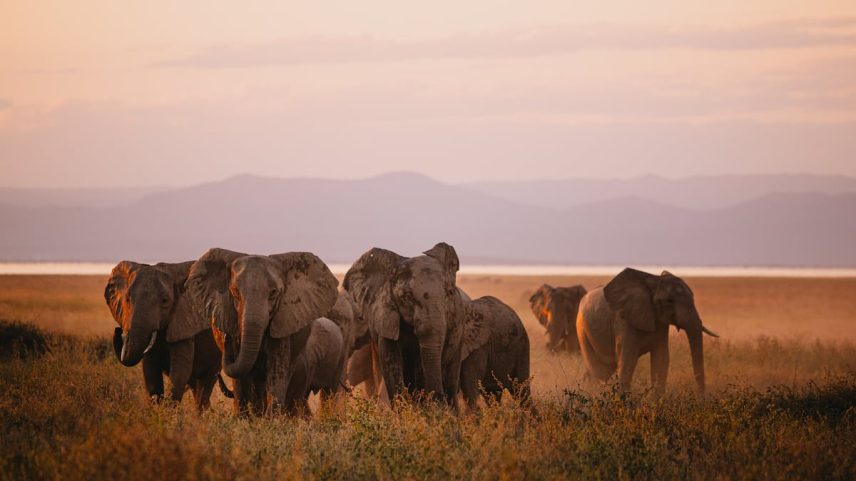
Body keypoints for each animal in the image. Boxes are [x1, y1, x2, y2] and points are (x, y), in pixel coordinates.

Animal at [104, 261, 229, 411]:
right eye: (127, 300)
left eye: (165, 301)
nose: (118, 330)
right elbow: (151, 373)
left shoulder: (185, 323)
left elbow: (179, 372)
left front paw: (168, 412)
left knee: (205, 385)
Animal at [185, 248, 339, 415]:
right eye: (236, 292)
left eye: (273, 293)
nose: (226, 337)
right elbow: (241, 375)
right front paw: (244, 418)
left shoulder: (283, 321)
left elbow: (276, 369)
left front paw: (271, 419)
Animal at [576, 268, 719, 396]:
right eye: (669, 301)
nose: (701, 396)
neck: (653, 281)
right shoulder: (623, 321)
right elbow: (627, 360)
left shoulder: (660, 323)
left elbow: (661, 357)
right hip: (582, 329)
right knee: (599, 371)